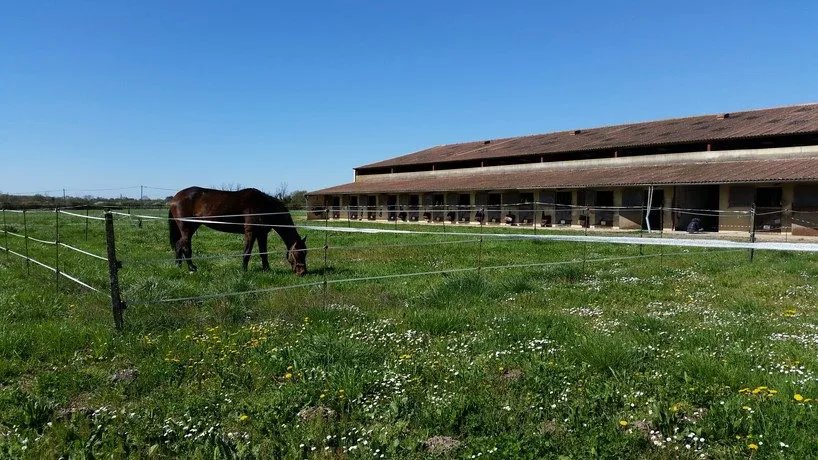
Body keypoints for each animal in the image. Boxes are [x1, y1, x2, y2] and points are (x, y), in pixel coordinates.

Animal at [168, 186, 307, 275]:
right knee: (185, 246)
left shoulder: (262, 234)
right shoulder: (250, 233)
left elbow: (264, 253)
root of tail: (175, 198)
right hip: (187, 228)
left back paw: (178, 266)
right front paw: (243, 271)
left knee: (179, 245)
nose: (303, 272)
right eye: (299, 253)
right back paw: (192, 268)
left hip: (191, 228)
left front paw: (267, 270)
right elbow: (247, 253)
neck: (266, 207)